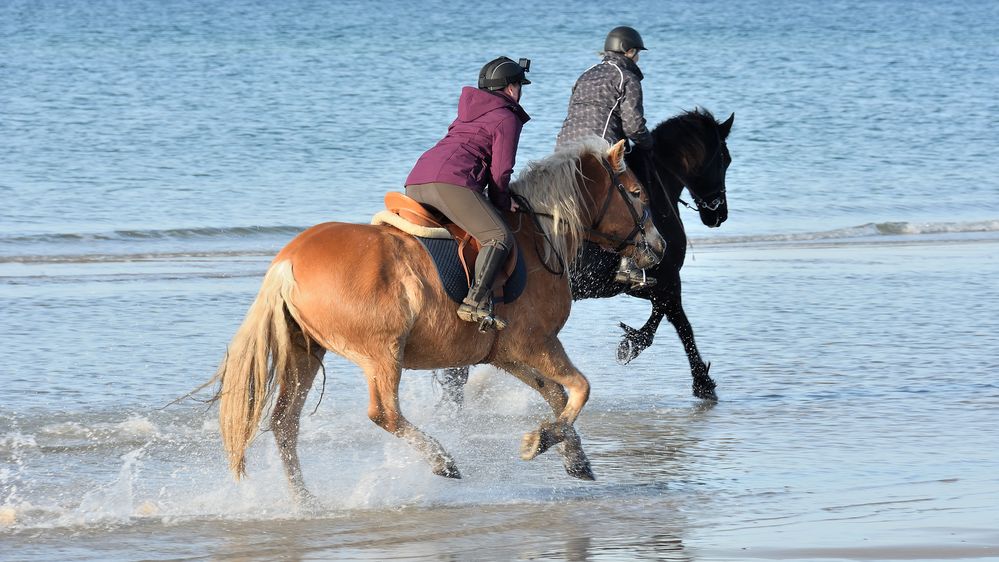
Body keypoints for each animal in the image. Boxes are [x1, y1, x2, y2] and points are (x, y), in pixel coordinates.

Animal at [209, 138, 664, 500]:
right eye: (637, 193)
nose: (659, 247)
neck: (539, 237)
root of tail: (288, 262)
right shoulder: (537, 343)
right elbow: (581, 389)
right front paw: (542, 440)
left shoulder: (506, 353)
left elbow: (556, 393)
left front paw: (574, 457)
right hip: (382, 353)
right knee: (383, 414)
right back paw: (441, 460)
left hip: (306, 350)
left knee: (285, 424)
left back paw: (306, 502)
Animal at [438, 107, 736, 400]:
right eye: (725, 159)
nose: (718, 214)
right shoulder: (664, 279)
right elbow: (678, 321)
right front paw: (699, 380)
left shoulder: (646, 283)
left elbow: (666, 314)